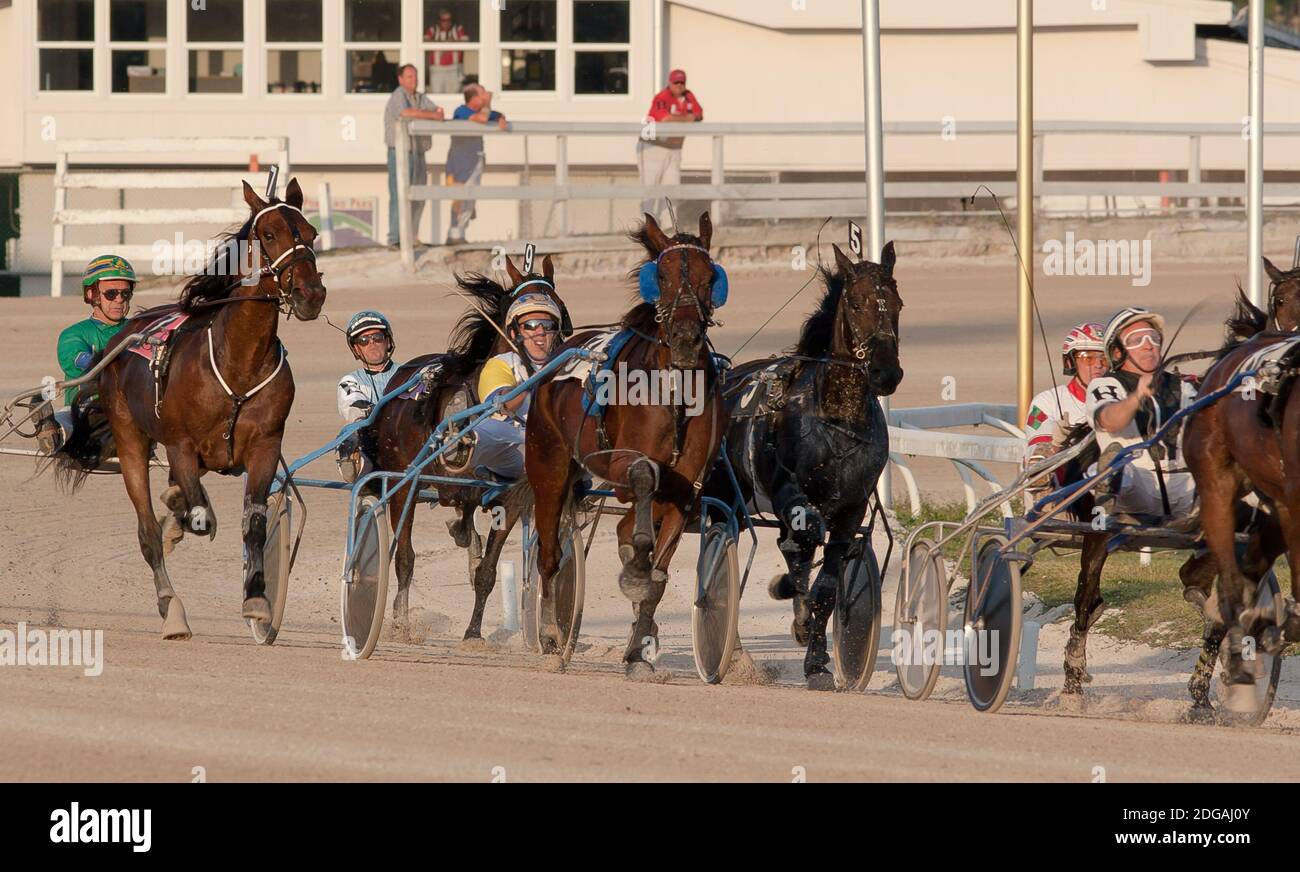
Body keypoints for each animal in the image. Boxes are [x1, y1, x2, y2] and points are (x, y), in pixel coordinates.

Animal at [53, 179, 325, 641]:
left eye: (311, 233)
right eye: (269, 234)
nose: (311, 294)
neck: (238, 364)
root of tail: (123, 335)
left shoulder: (266, 446)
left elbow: (252, 521)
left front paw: (258, 600)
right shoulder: (179, 444)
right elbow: (199, 516)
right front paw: (184, 523)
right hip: (130, 439)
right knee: (148, 529)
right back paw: (172, 607)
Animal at [369, 256, 566, 636]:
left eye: (559, 311)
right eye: (528, 320)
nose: (549, 346)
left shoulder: (511, 494)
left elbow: (486, 569)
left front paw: (473, 632)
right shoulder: (443, 482)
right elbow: (442, 530)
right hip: (402, 480)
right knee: (405, 555)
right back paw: (401, 618)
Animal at [527, 214, 733, 680]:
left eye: (711, 277)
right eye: (662, 275)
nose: (687, 338)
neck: (675, 391)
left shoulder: (685, 490)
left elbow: (657, 576)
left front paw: (639, 651)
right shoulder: (619, 464)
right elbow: (641, 476)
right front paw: (636, 569)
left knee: (622, 529)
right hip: (547, 465)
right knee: (549, 553)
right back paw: (551, 636)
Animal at [712, 240, 904, 691]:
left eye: (898, 303)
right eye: (856, 302)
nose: (887, 372)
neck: (838, 421)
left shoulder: (851, 508)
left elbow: (827, 587)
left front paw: (817, 662)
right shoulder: (790, 491)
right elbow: (805, 537)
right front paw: (786, 591)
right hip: (726, 496)